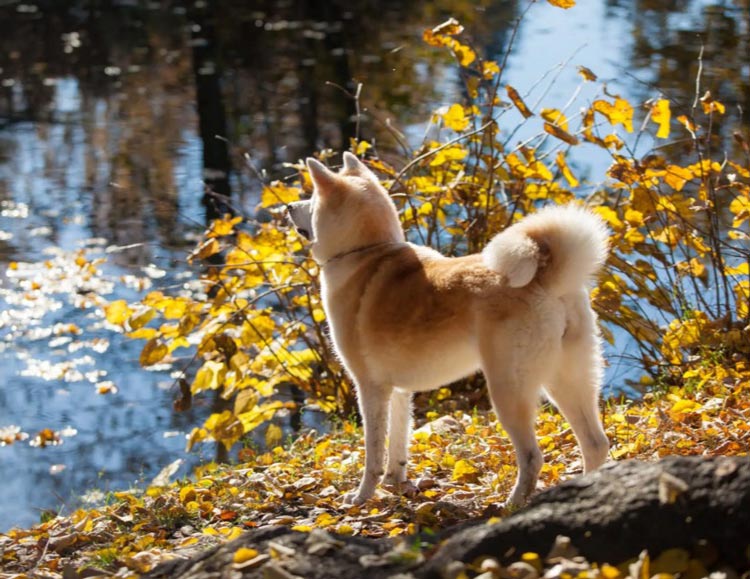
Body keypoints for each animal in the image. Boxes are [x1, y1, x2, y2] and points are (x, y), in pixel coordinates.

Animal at [288, 154, 612, 508]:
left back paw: (512, 505)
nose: (288, 208)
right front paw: (395, 483)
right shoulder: (398, 391)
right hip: (568, 380)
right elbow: (398, 444)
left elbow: (373, 454)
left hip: (510, 390)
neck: (367, 251)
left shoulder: (370, 388)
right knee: (595, 443)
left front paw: (362, 497)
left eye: (311, 199)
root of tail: (547, 280)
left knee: (532, 457)